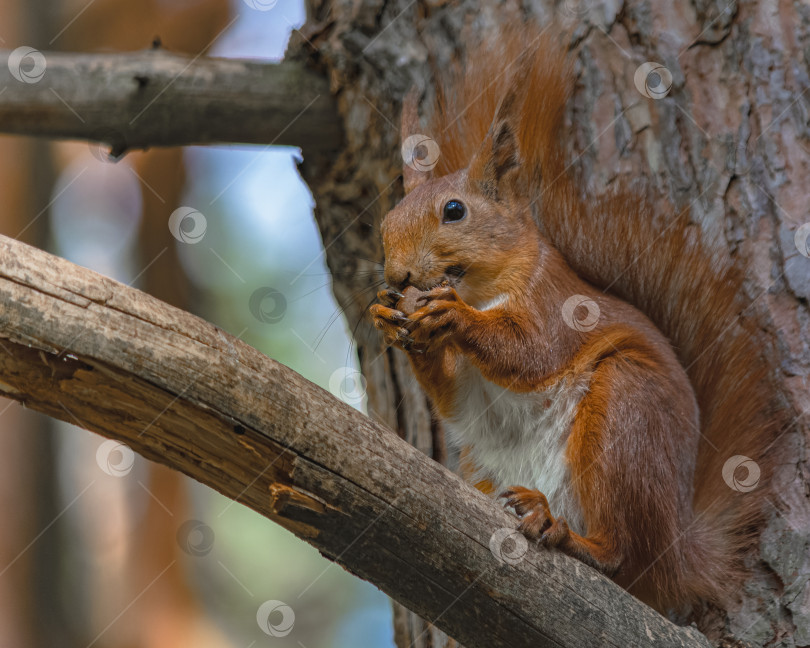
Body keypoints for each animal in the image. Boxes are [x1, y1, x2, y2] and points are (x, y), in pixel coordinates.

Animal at [368, 26, 776, 612]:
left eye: (454, 211)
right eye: (385, 224)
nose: (397, 277)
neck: (486, 288)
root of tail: (677, 552)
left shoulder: (559, 305)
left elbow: (531, 353)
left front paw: (454, 317)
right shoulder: (462, 387)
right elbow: (452, 396)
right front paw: (388, 318)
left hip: (625, 415)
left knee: (619, 554)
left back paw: (563, 532)